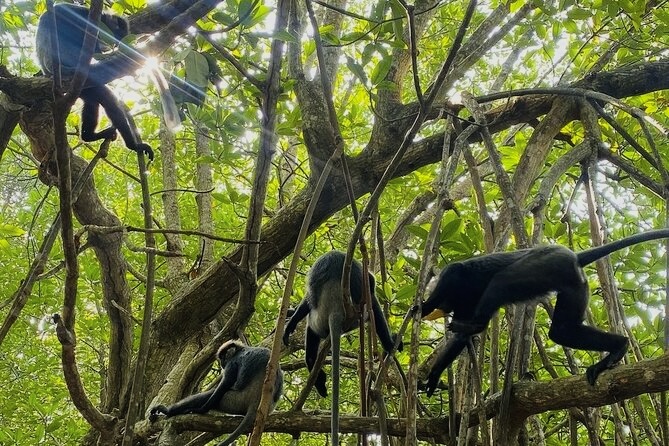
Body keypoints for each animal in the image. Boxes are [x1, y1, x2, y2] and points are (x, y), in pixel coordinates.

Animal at [35, 4, 176, 160]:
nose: (115, 44)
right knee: (107, 97)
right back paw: (133, 145)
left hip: (82, 88)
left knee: (93, 100)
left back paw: (89, 136)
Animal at [149, 340, 284, 446]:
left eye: (223, 358)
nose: (221, 364)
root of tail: (257, 402)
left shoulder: (233, 362)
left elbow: (224, 384)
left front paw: (201, 410)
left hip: (234, 400)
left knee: (210, 394)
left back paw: (168, 411)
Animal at [282, 250, 402, 446]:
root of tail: (336, 311)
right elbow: (370, 288)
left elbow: (307, 300)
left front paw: (291, 322)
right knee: (371, 300)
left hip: (317, 320)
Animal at [420, 228, 669, 396]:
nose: (443, 309)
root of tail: (574, 255)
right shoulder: (464, 304)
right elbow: (461, 338)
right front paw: (435, 373)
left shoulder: (456, 282)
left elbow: (455, 270)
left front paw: (424, 307)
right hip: (575, 284)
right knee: (562, 330)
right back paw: (619, 346)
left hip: (548, 263)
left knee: (503, 280)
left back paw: (478, 324)